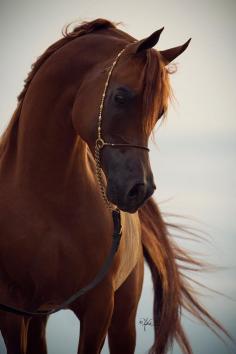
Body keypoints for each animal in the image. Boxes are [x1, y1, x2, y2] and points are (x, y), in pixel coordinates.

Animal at [0, 18, 226, 354]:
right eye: (120, 96)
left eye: (159, 111)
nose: (139, 190)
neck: (45, 199)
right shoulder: (13, 311)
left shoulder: (99, 307)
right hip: (39, 316)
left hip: (123, 318)